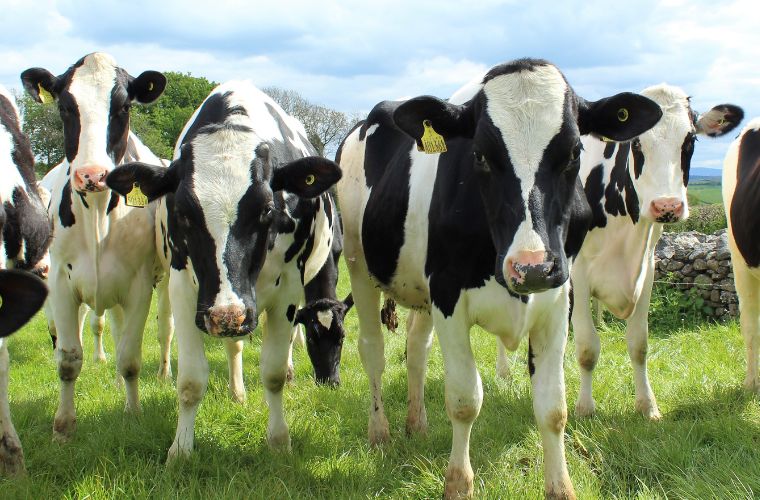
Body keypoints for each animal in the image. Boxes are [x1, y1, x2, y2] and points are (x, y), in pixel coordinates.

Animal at [20, 52, 174, 442]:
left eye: (123, 106)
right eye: (65, 107)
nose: (91, 175)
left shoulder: (139, 285)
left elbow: (131, 357)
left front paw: (133, 413)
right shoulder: (60, 282)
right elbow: (68, 358)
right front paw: (63, 427)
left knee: (164, 327)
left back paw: (162, 372)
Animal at [105, 80, 342, 460]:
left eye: (266, 209)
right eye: (183, 212)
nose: (226, 315)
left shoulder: (289, 289)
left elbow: (274, 372)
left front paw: (279, 441)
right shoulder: (186, 289)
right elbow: (190, 380)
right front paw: (180, 450)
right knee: (234, 346)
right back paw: (236, 391)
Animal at [336, 58, 663, 499]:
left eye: (574, 152)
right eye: (479, 155)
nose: (532, 266)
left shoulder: (559, 298)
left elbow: (553, 407)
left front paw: (560, 487)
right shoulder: (448, 296)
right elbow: (464, 400)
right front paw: (458, 483)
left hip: (419, 289)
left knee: (416, 350)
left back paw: (416, 423)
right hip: (358, 264)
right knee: (372, 351)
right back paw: (380, 432)